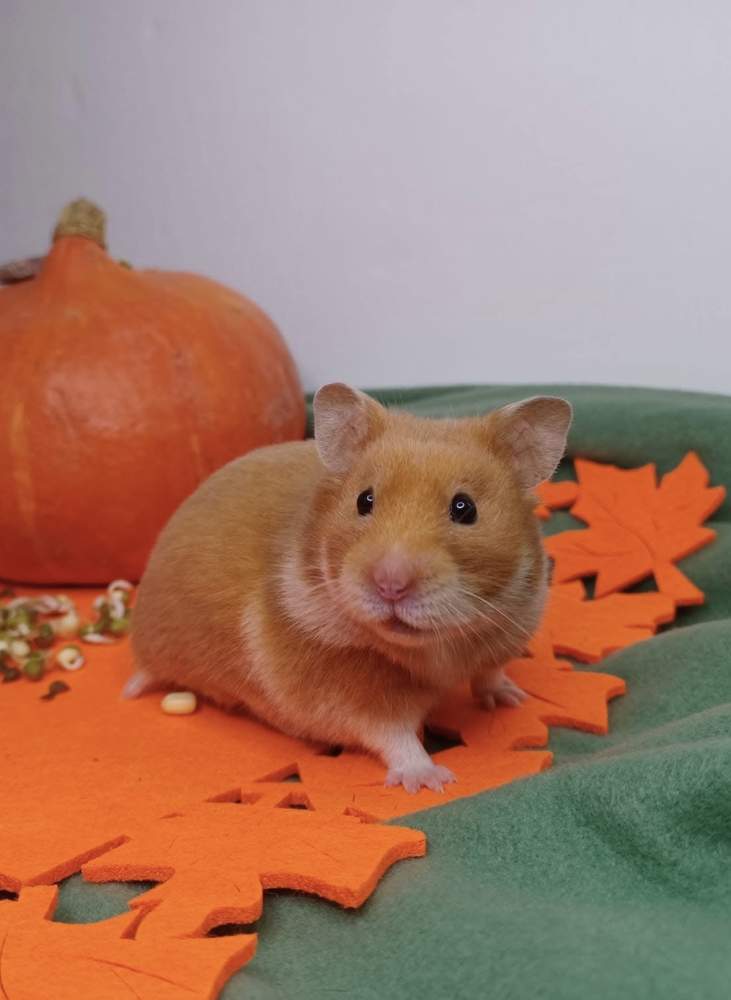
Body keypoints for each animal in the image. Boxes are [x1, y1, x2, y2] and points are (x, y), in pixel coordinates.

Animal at [126, 383, 572, 793]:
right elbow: (395, 737)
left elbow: (489, 672)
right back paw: (131, 691)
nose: (390, 584)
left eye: (465, 508)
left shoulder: (506, 627)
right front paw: (430, 781)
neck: (437, 648)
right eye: (364, 500)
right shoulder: (349, 695)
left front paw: (512, 698)